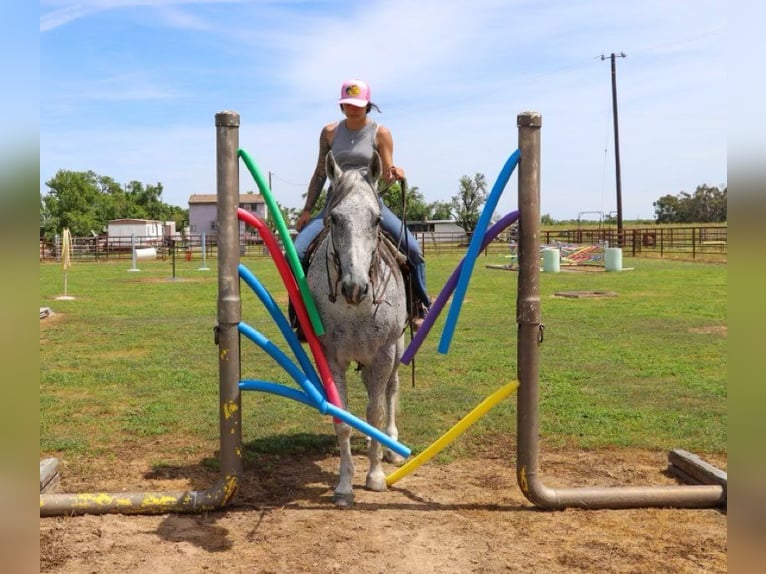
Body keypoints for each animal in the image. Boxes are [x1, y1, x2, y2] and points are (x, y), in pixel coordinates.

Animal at [308, 150, 412, 508]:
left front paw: (375, 476)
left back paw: (392, 447)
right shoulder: (330, 358)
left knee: (391, 390)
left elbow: (375, 414)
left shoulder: (383, 354)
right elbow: (343, 420)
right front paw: (344, 486)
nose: (354, 287)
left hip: (396, 350)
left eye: (376, 220)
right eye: (335, 218)